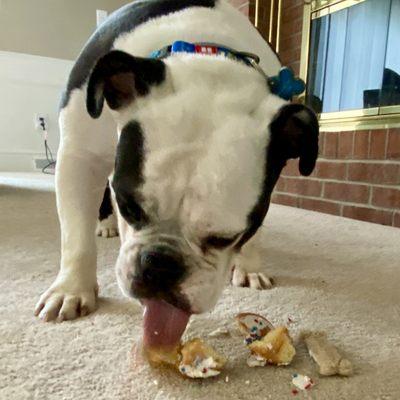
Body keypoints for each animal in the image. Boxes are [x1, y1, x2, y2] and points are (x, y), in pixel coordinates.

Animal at [34, 0, 318, 346]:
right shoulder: (78, 155)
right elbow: (75, 235)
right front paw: (72, 289)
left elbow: (257, 229)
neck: (207, 53)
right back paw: (104, 225)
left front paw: (249, 265)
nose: (161, 264)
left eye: (225, 238)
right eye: (129, 207)